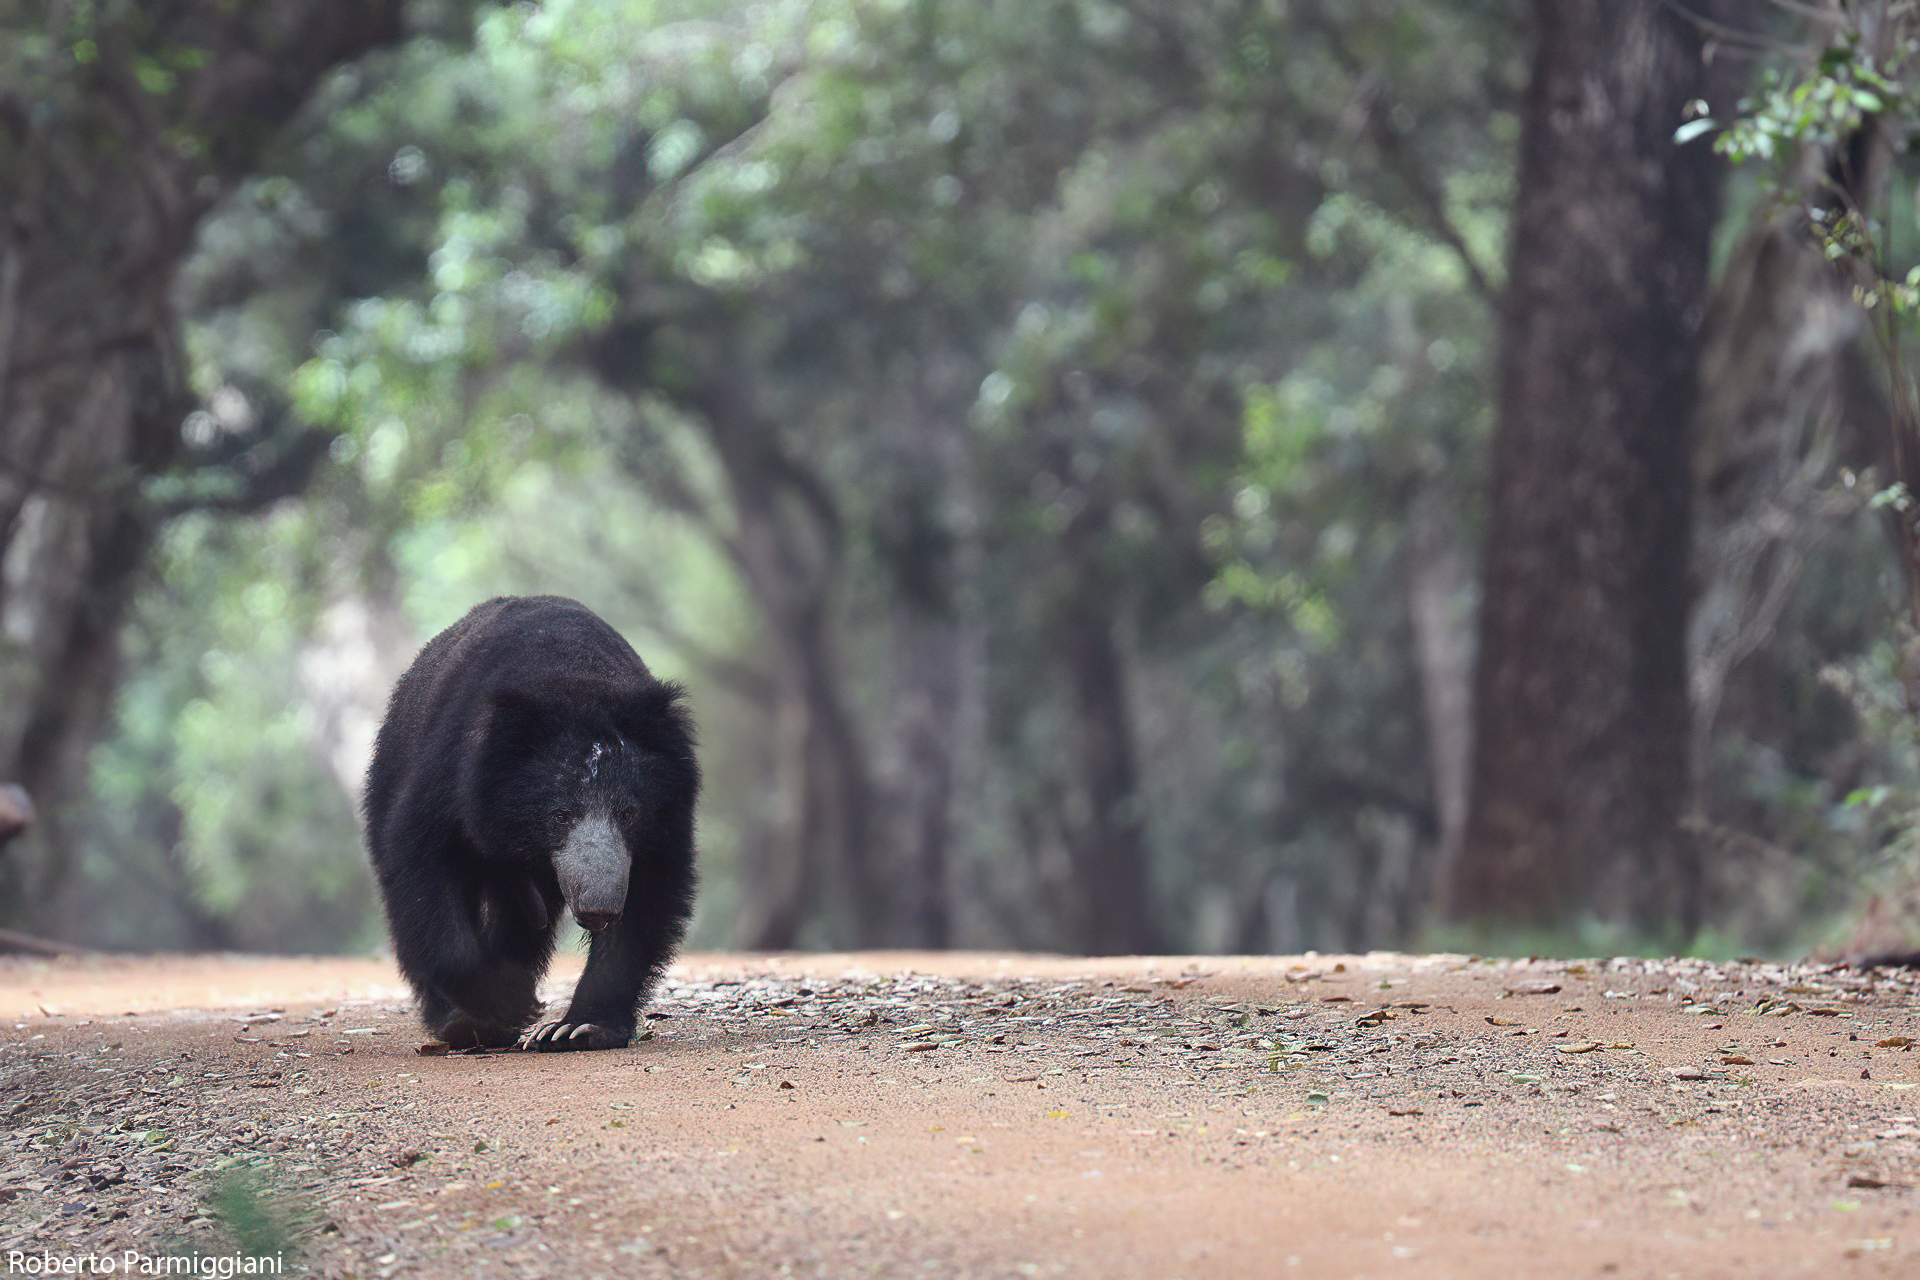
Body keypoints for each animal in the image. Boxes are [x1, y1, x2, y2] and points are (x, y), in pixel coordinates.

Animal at [362, 595, 698, 1052]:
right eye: (560, 814)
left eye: (628, 814)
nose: (599, 907)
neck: (573, 680)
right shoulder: (450, 776)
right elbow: (424, 869)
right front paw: (505, 1003)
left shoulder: (666, 817)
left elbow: (647, 901)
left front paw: (576, 1028)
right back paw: (460, 1022)